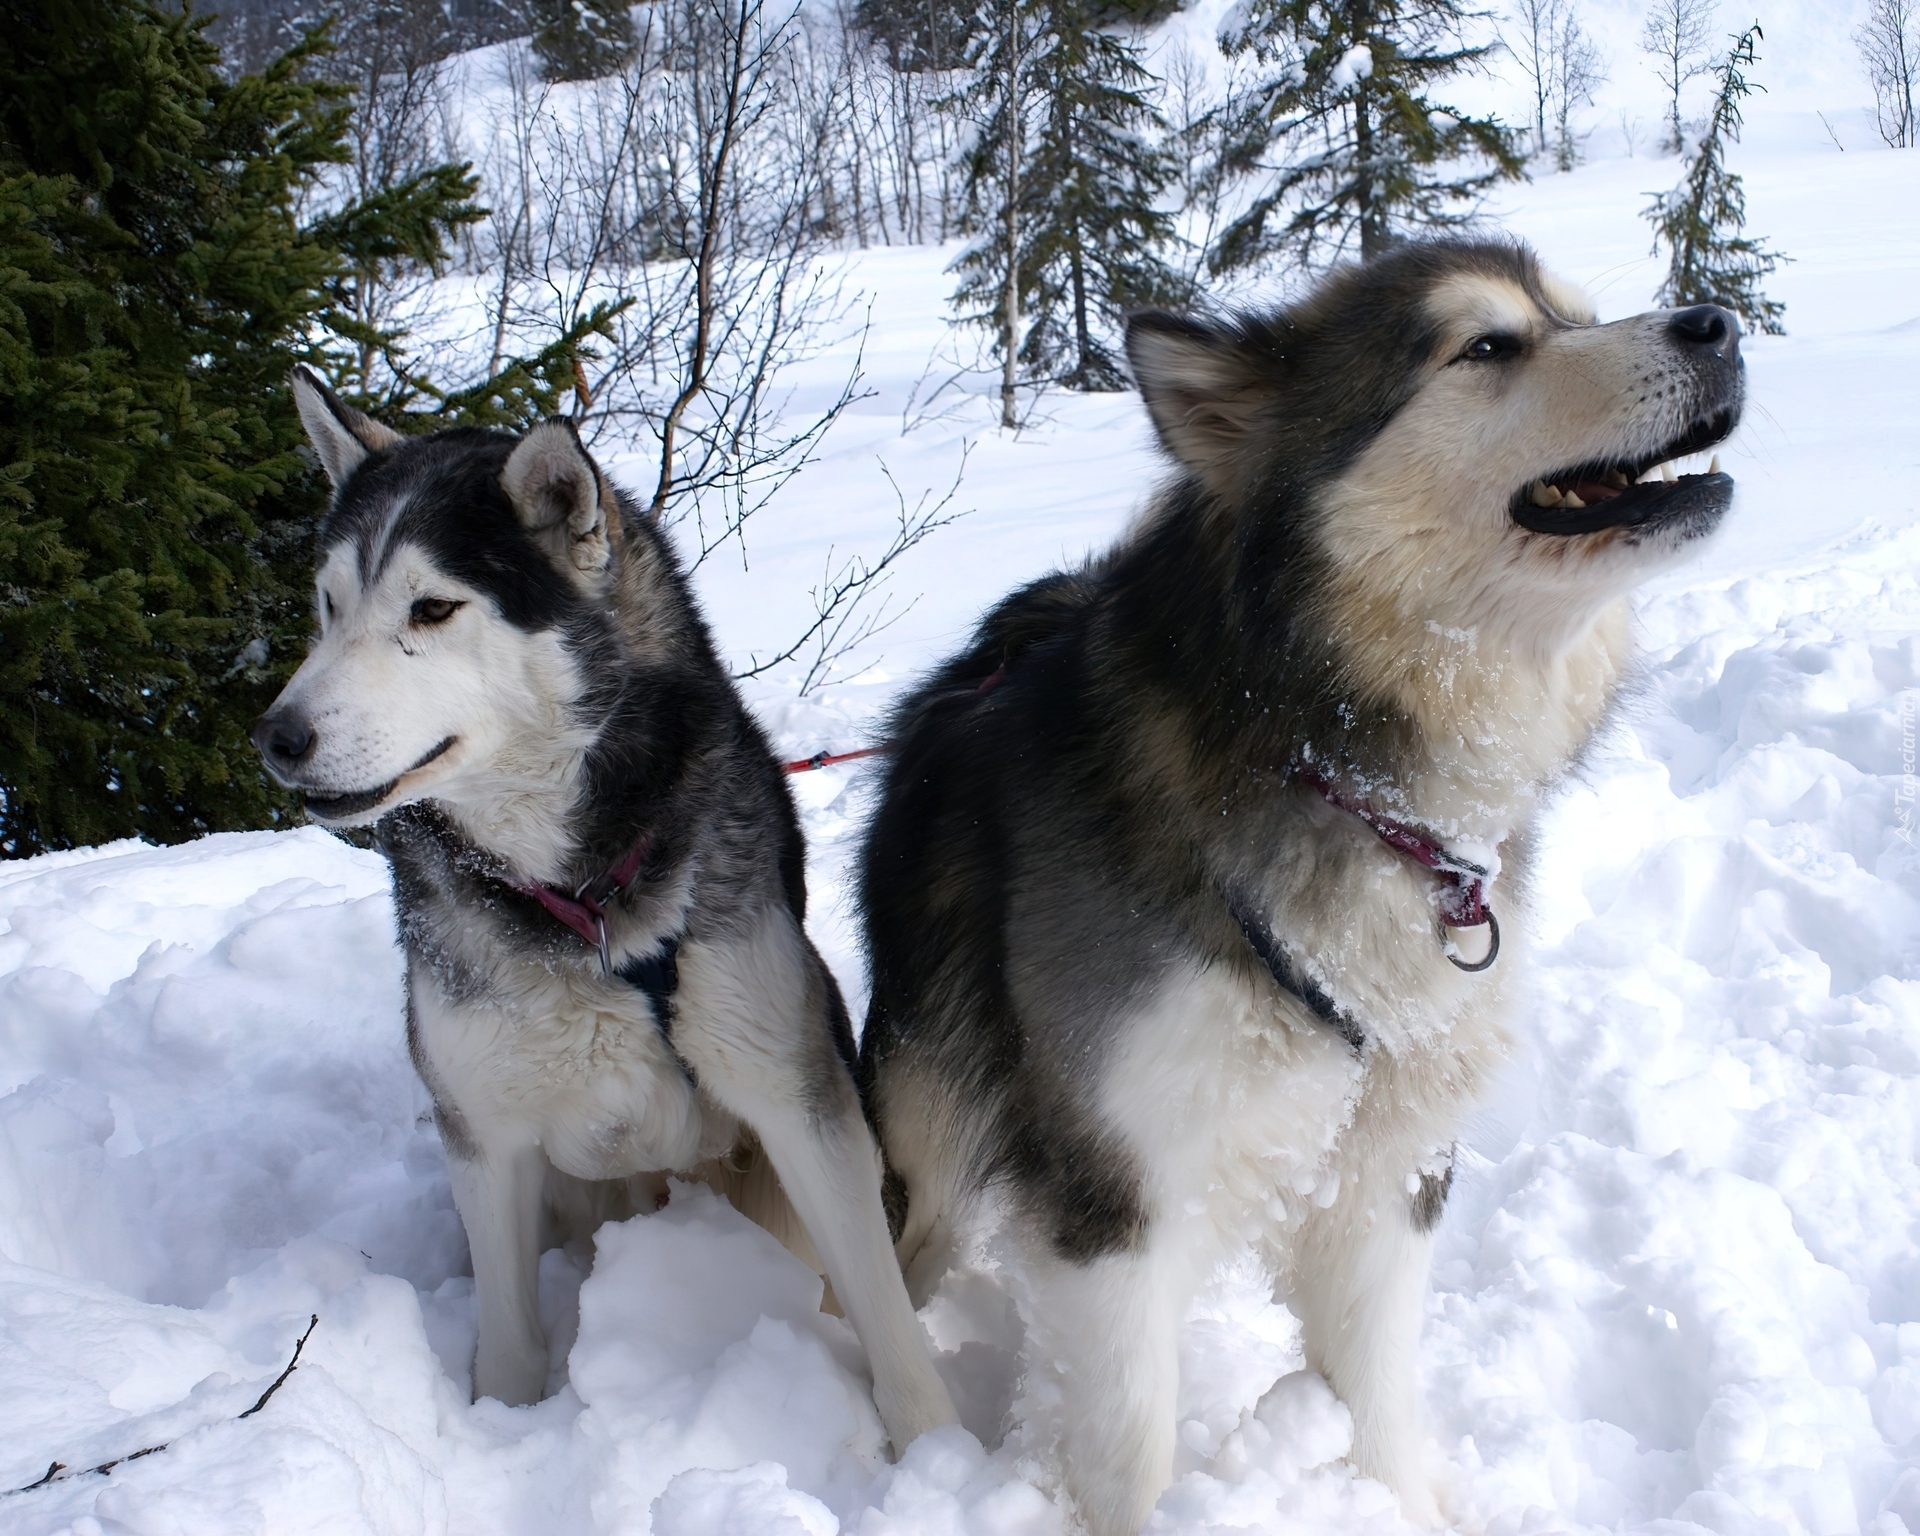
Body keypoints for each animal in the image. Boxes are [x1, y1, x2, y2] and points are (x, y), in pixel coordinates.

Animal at [255, 374, 960, 1451]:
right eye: (328, 607)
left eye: (433, 607)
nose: (278, 737)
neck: (580, 902)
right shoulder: (488, 1136)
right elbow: (507, 1337)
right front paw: (500, 1432)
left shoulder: (793, 1095)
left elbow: (884, 1315)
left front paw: (933, 1453)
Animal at [856, 240, 1743, 1520]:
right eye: (1488, 346)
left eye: (1579, 314)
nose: (1718, 322)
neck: (1335, 758)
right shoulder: (1116, 1189)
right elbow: (1130, 1445)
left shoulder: (1389, 1164)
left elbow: (1375, 1395)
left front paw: (1398, 1504)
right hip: (929, 1123)